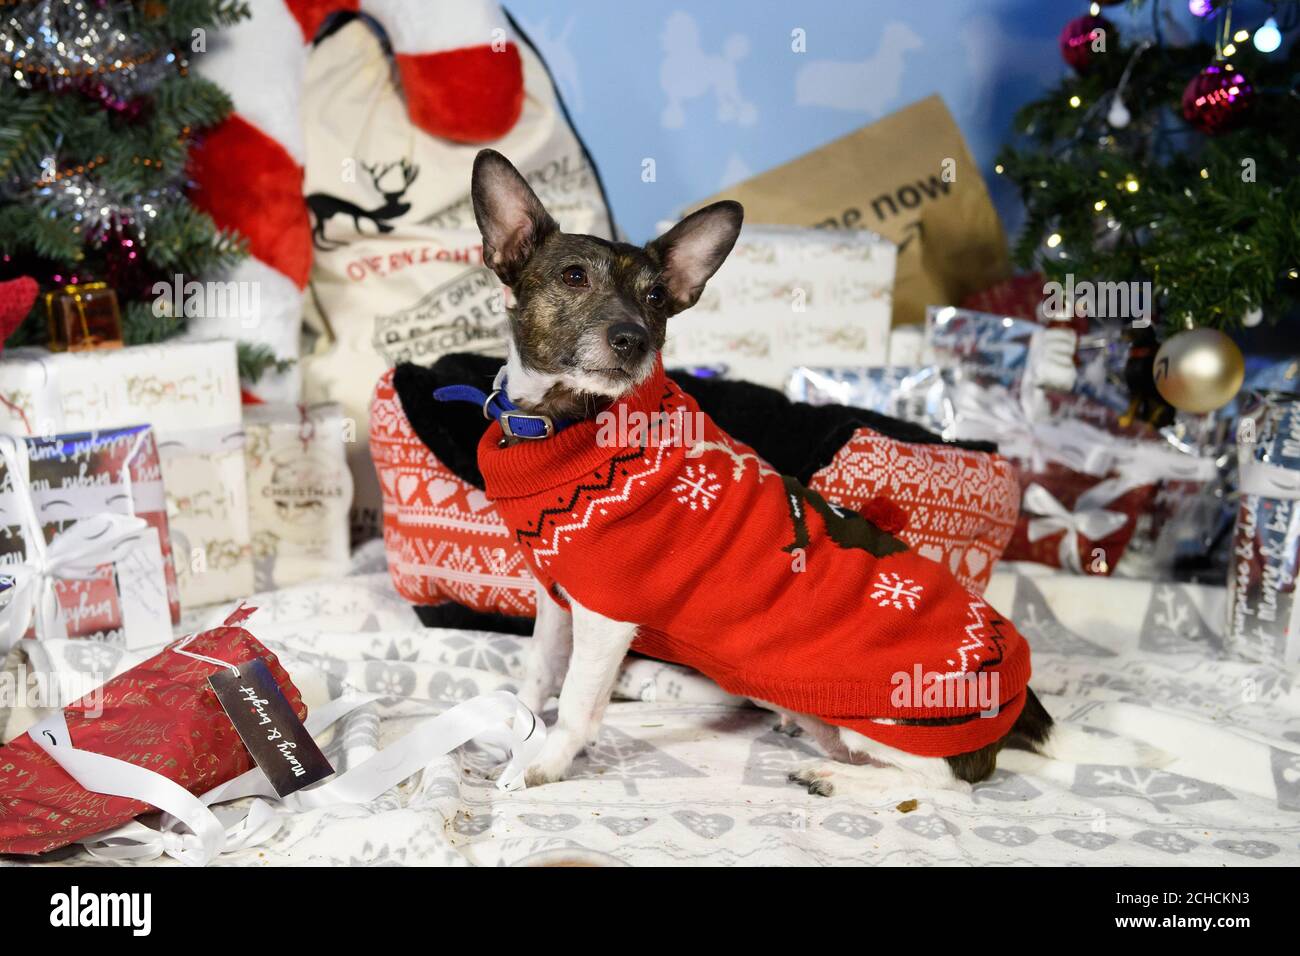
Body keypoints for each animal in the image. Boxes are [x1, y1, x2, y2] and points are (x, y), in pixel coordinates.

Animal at [454, 147, 1159, 790]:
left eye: (655, 297)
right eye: (574, 277)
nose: (634, 339)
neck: (563, 423)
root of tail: (1024, 704)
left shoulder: (606, 617)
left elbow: (575, 702)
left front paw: (542, 764)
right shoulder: (556, 600)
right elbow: (539, 676)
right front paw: (512, 729)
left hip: (894, 723)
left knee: (946, 783)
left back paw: (837, 777)